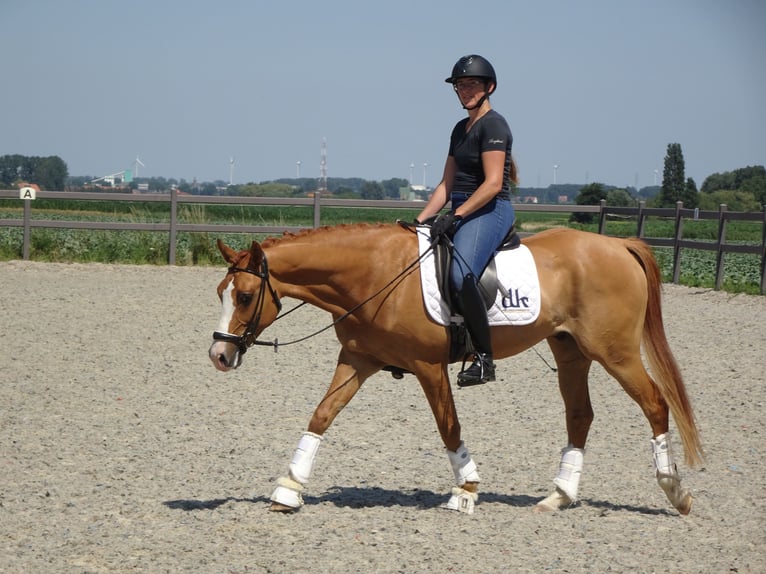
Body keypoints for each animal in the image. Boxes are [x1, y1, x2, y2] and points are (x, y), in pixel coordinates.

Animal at [207, 223, 704, 516]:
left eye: (245, 296)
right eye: (220, 293)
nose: (218, 356)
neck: (375, 275)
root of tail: (618, 244)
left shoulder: (429, 366)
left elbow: (448, 426)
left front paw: (466, 489)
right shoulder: (357, 360)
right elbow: (321, 415)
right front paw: (288, 489)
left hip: (615, 353)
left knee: (655, 404)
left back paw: (675, 492)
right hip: (571, 351)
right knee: (580, 415)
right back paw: (559, 496)